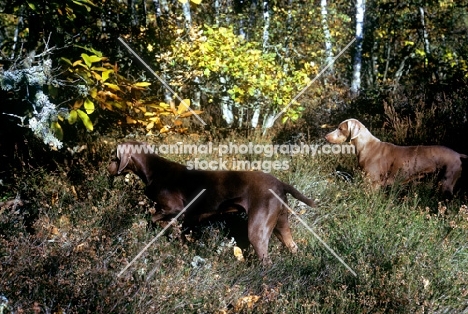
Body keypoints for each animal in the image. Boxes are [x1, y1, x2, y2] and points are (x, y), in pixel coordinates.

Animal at [108, 141, 316, 264]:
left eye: (114, 156)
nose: (107, 168)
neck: (152, 169)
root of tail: (280, 184)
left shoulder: (175, 208)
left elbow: (152, 218)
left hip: (258, 230)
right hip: (281, 225)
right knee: (293, 247)